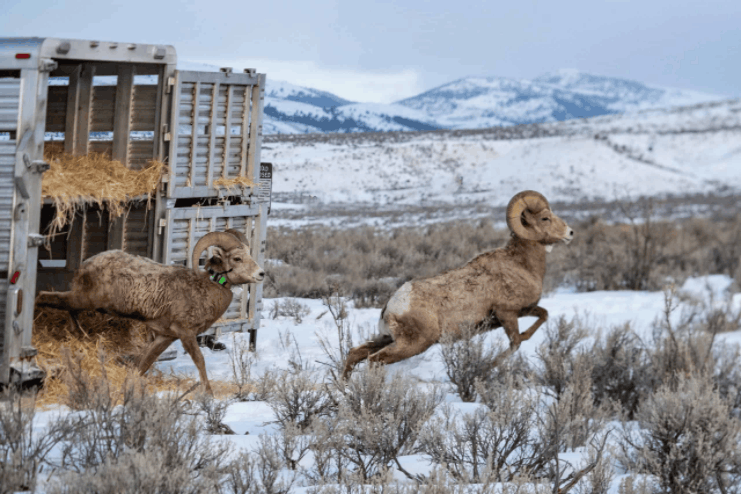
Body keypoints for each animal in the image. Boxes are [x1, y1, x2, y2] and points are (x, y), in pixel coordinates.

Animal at [35, 229, 264, 394]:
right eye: (237, 258)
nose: (261, 274)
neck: (203, 289)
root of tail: (86, 264)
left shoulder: (166, 336)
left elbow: (144, 362)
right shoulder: (186, 333)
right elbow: (200, 360)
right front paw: (209, 394)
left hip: (83, 300)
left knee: (67, 307)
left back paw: (78, 333)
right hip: (84, 298)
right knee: (46, 298)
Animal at [342, 190, 574, 379]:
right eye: (545, 218)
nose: (570, 233)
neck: (522, 265)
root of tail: (393, 305)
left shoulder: (523, 310)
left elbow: (543, 316)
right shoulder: (507, 313)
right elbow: (516, 342)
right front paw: (489, 367)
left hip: (388, 339)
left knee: (355, 354)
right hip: (413, 344)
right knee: (374, 360)